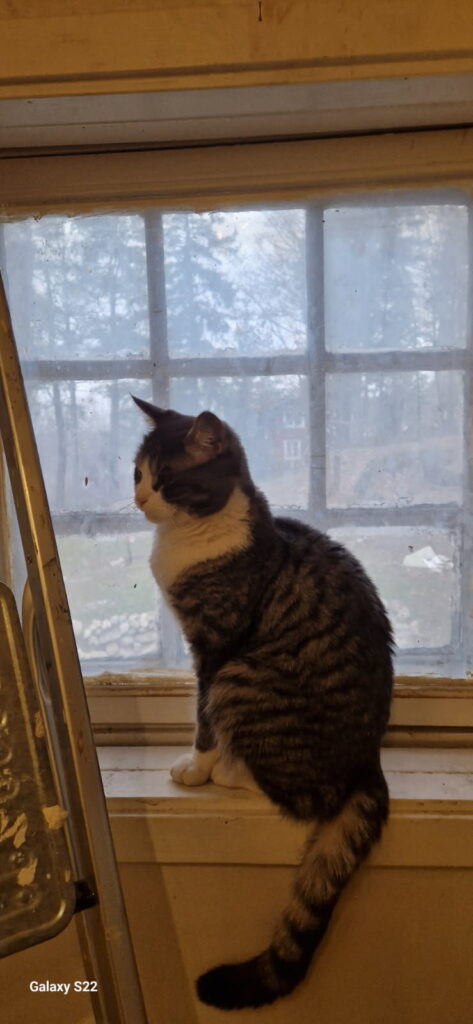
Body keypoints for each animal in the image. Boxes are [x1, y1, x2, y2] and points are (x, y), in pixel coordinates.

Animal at [132, 395, 394, 1011]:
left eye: (168, 479)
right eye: (137, 473)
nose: (139, 499)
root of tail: (368, 760)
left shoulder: (215, 649)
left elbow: (201, 715)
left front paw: (197, 766)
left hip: (243, 679)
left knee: (306, 797)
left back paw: (231, 772)